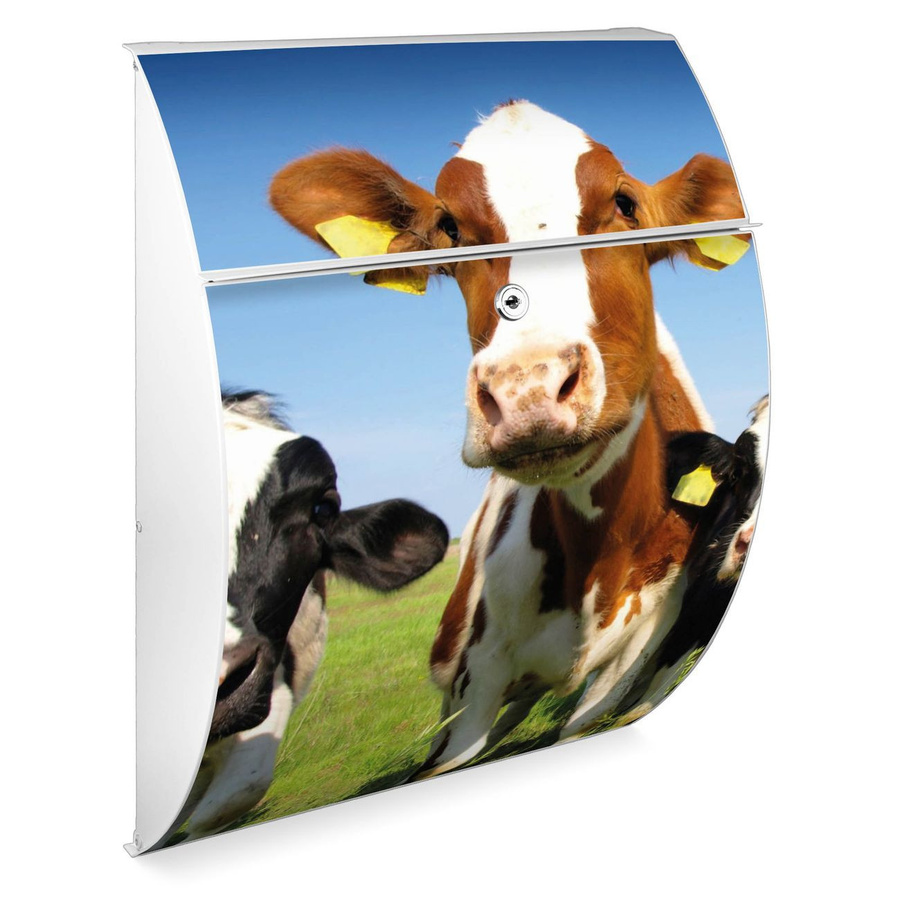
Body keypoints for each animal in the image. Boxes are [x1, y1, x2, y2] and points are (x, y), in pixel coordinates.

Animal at [269, 100, 749, 779]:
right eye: (449, 226)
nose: (528, 390)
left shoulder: (636, 655)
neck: (597, 556)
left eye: (624, 204)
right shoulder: (475, 682)